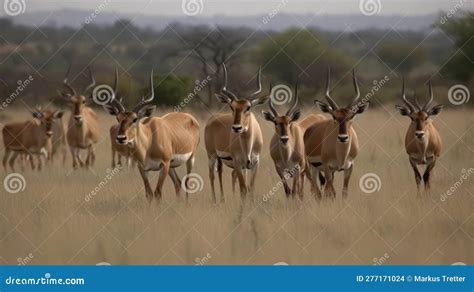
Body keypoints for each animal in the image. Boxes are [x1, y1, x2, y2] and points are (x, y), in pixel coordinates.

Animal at [103, 69, 200, 202]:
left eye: (135, 119)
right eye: (118, 118)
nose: (121, 138)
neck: (149, 142)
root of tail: (190, 118)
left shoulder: (164, 165)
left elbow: (158, 192)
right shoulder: (143, 168)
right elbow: (149, 193)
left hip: (189, 159)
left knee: (187, 183)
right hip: (172, 166)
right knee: (178, 183)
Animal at [205, 64, 270, 203]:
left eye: (248, 107)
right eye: (232, 106)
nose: (237, 128)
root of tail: (213, 118)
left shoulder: (255, 163)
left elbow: (251, 188)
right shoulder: (237, 163)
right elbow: (243, 189)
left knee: (220, 173)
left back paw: (223, 199)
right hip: (211, 156)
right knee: (211, 175)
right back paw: (215, 201)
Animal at [304, 68, 370, 198]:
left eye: (351, 116)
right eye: (334, 116)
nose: (343, 138)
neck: (341, 155)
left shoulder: (349, 167)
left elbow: (344, 192)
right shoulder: (327, 167)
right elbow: (332, 193)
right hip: (314, 168)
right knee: (318, 192)